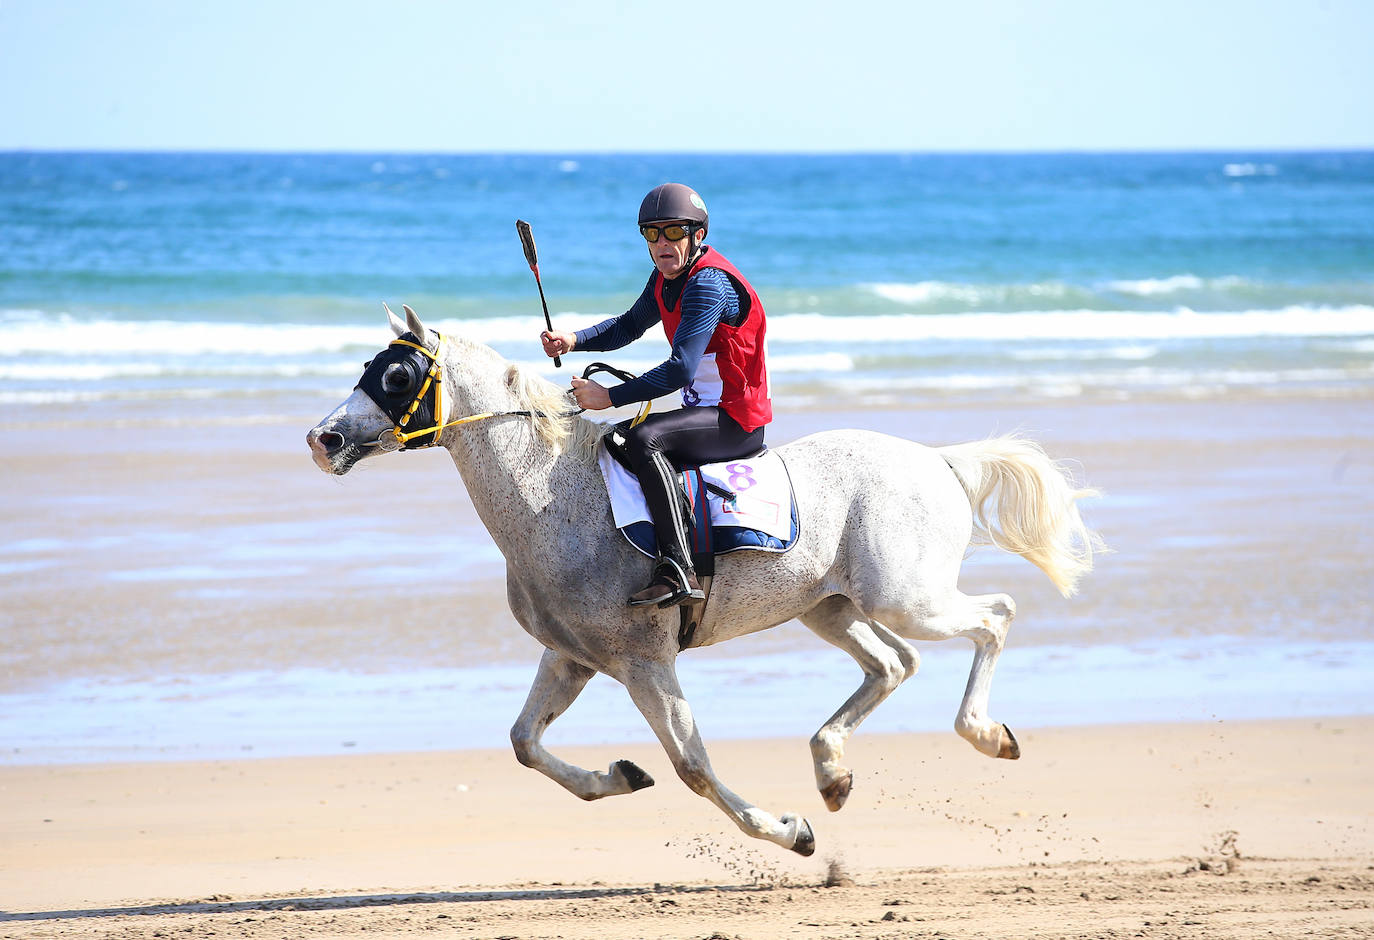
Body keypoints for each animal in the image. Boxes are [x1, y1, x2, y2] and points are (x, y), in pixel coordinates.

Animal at [306, 306, 1099, 857]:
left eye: (397, 377)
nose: (323, 440)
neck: (551, 491)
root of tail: (938, 460)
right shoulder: (571, 657)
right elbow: (524, 741)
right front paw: (618, 778)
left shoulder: (643, 663)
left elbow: (691, 765)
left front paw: (789, 832)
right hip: (831, 607)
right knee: (893, 663)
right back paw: (832, 770)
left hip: (906, 599)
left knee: (993, 617)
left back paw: (985, 735)